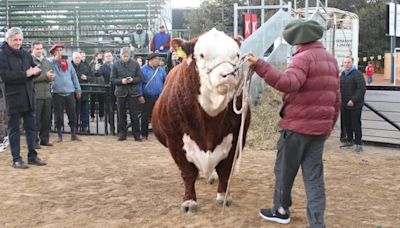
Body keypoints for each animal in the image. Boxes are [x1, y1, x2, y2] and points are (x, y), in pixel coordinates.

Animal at [152, 28, 250, 212]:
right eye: (202, 55)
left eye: (237, 54)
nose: (229, 75)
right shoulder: (175, 140)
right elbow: (188, 173)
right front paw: (189, 201)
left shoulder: (235, 138)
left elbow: (225, 171)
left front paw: (223, 197)